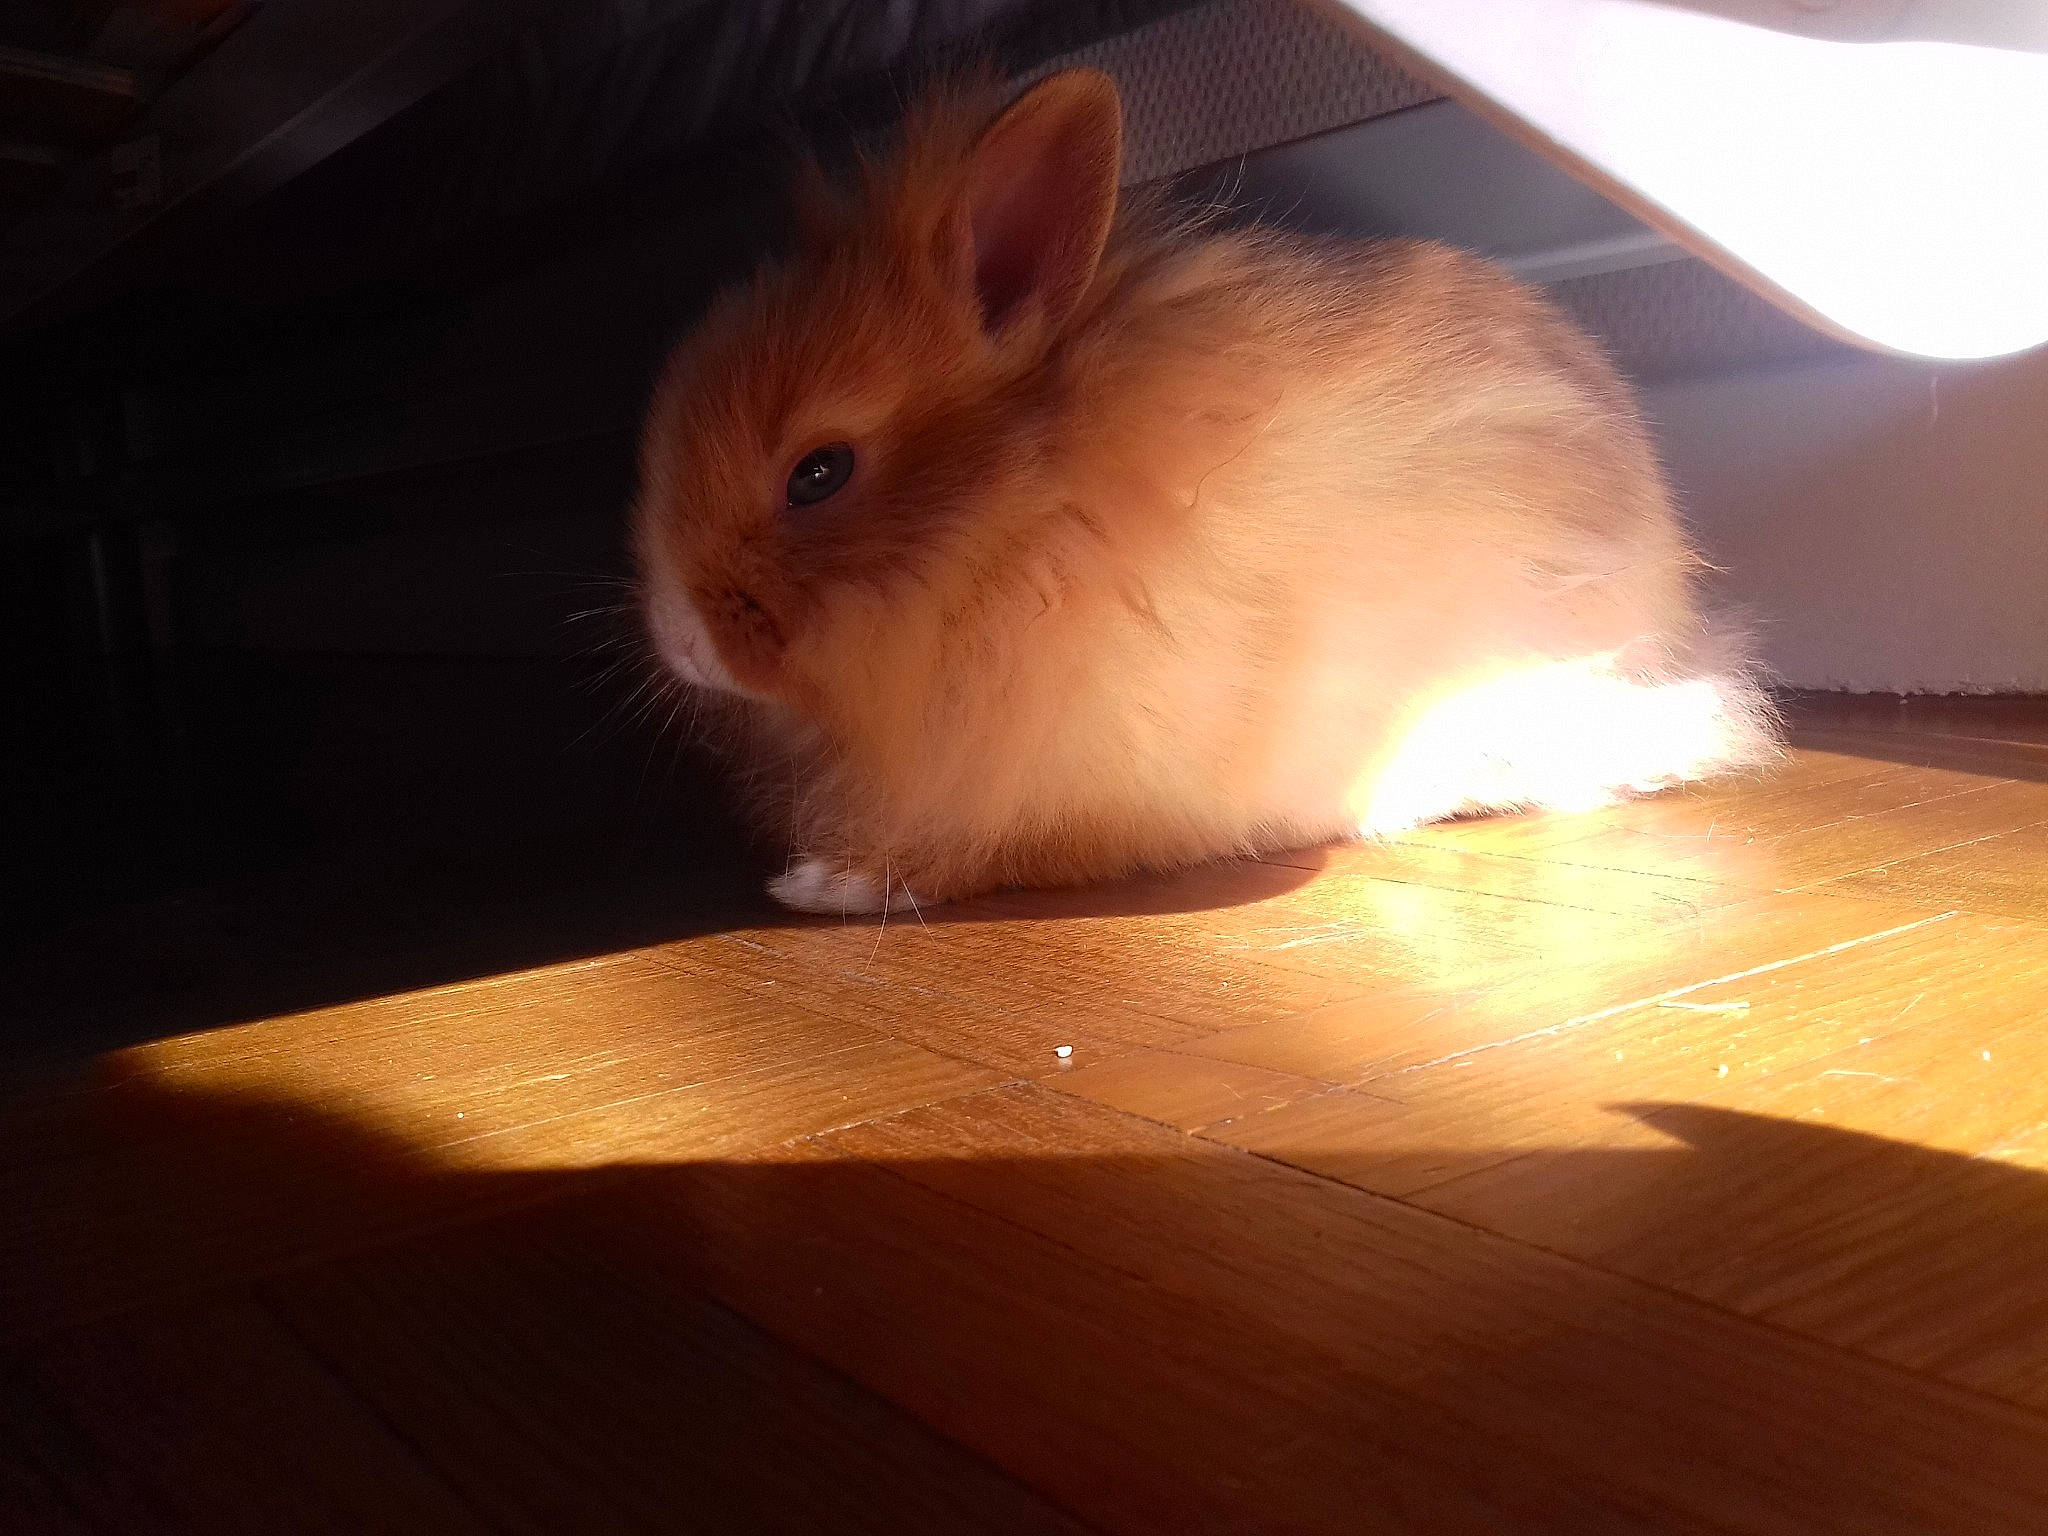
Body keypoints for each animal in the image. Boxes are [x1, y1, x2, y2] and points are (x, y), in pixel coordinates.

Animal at [632, 67, 1776, 915]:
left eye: (819, 473)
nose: (678, 638)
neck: (1017, 525)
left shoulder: (1074, 799)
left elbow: (992, 854)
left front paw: (824, 884)